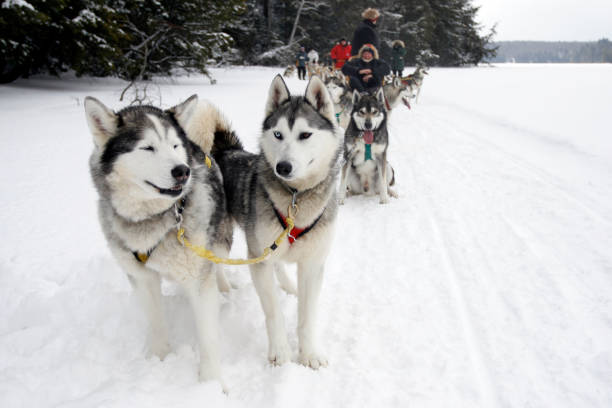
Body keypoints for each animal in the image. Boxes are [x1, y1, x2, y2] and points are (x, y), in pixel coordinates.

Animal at [83, 94, 232, 388]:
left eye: (174, 145)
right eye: (148, 147)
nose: (182, 171)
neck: (154, 219)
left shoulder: (199, 279)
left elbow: (208, 339)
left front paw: (210, 383)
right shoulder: (141, 278)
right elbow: (156, 322)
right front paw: (160, 359)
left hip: (218, 241)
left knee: (218, 266)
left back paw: (225, 289)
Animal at [212, 74, 344, 370]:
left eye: (305, 135)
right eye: (278, 134)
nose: (282, 167)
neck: (295, 198)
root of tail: (225, 151)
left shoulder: (312, 264)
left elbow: (307, 316)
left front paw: (309, 353)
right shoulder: (258, 259)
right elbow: (273, 312)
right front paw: (280, 352)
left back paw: (287, 285)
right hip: (223, 238)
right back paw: (224, 290)